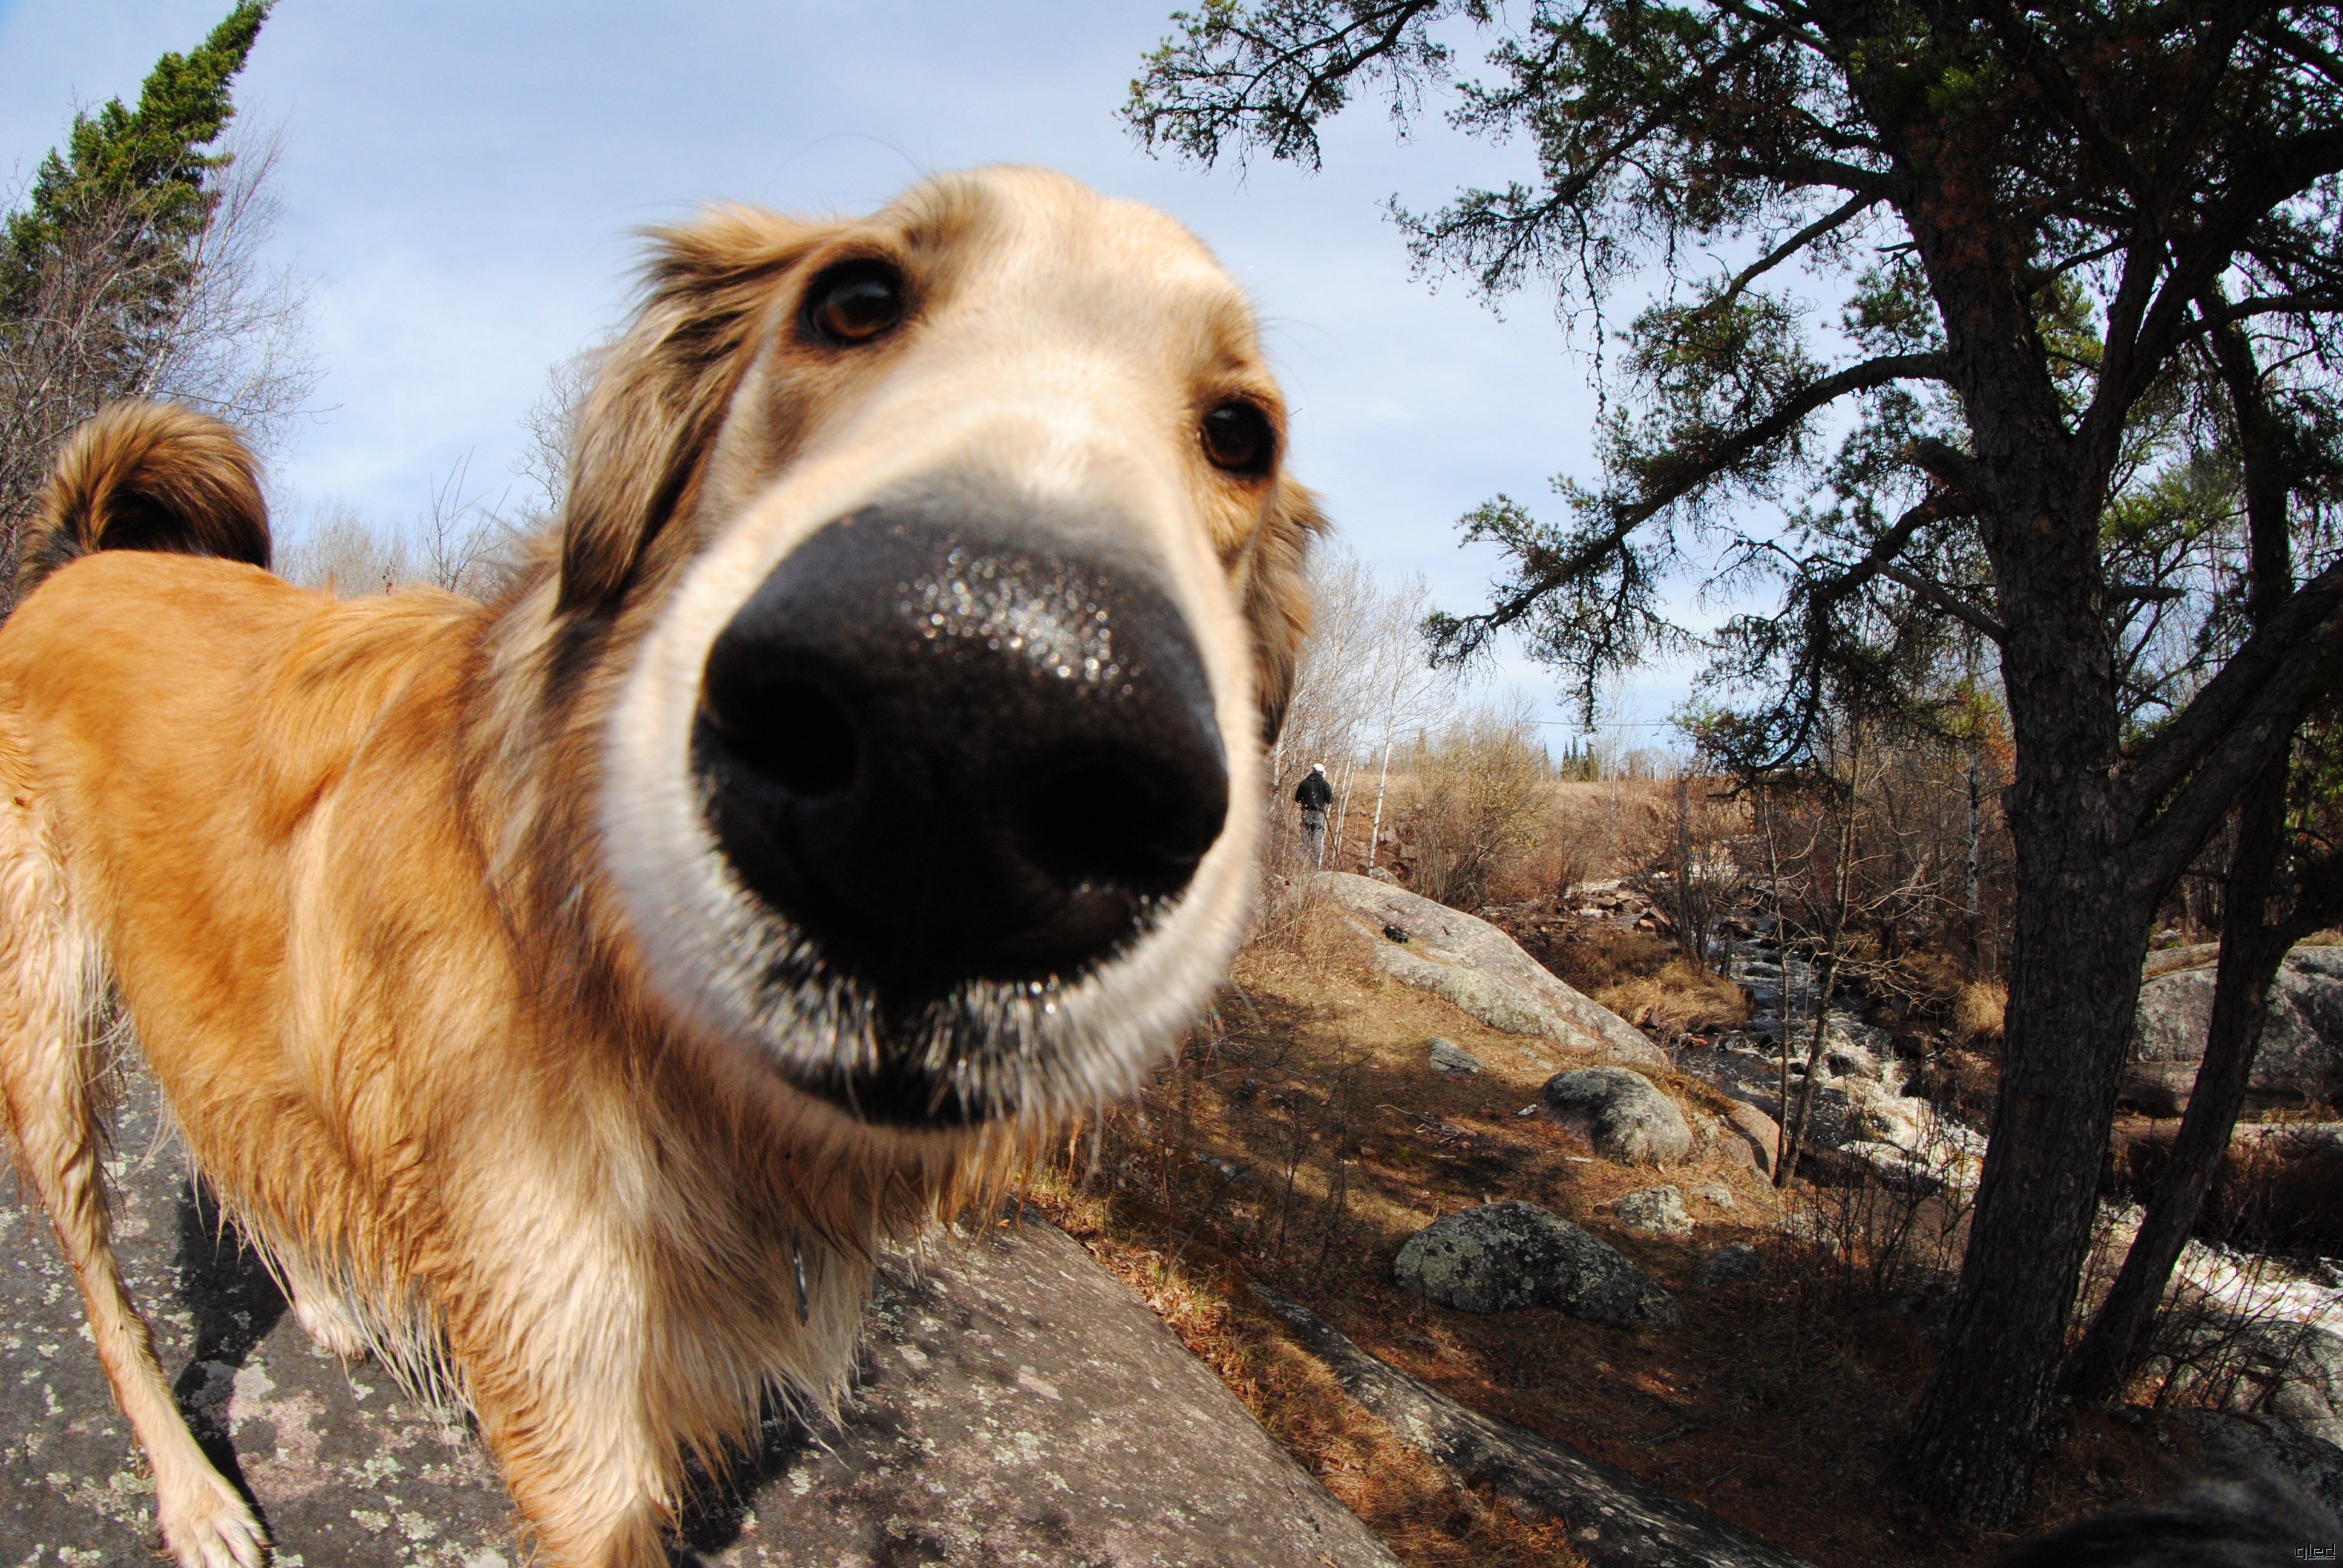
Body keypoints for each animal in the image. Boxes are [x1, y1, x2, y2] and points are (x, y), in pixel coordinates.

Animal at [0, 168, 1321, 1566]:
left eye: (1239, 434)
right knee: (104, 1283)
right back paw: (193, 1494)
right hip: (44, 1032)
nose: (966, 728)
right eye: (855, 299)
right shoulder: (576, 1418)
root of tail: (87, 559)